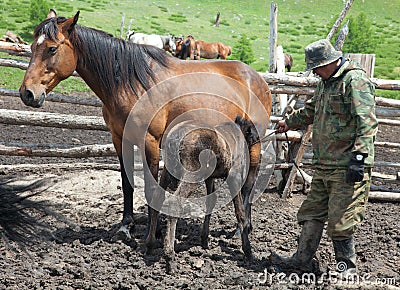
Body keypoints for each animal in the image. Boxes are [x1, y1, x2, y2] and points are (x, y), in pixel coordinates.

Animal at [19, 9, 272, 258]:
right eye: (32, 47)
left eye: (52, 48)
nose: (27, 93)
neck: (131, 83)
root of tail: (257, 78)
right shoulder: (120, 139)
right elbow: (127, 183)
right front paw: (126, 227)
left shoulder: (150, 141)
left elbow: (152, 189)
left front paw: (152, 236)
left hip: (253, 143)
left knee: (248, 183)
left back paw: (242, 228)